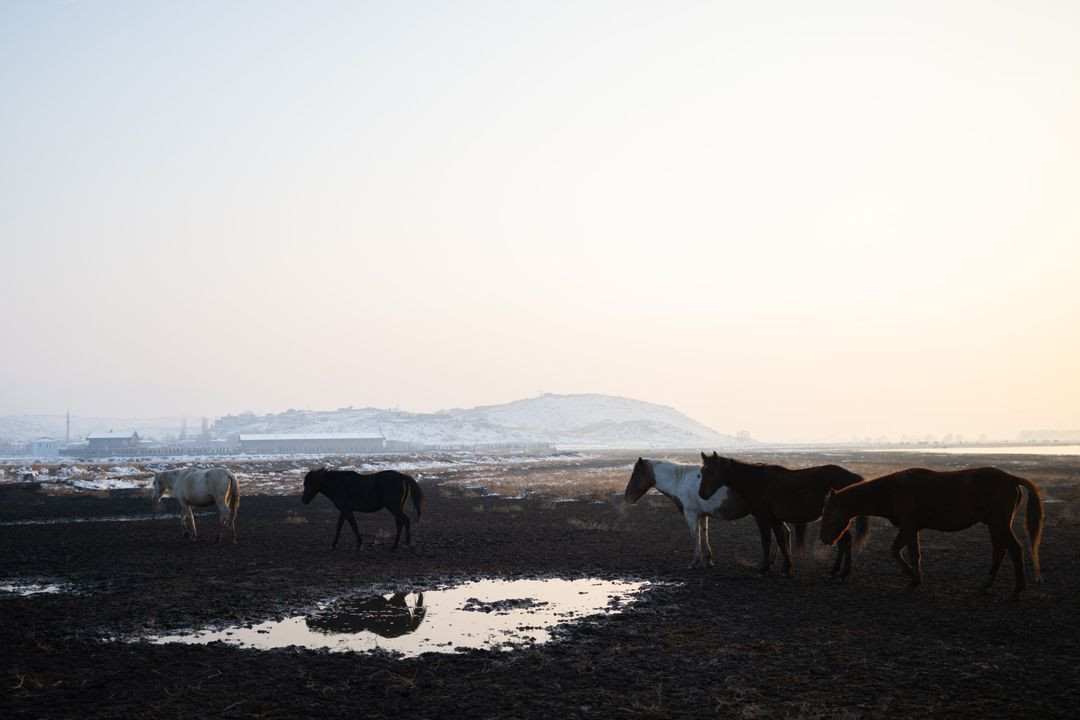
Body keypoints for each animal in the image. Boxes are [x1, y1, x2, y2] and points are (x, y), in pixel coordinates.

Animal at [622, 462, 773, 569]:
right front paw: (709, 560)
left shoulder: (691, 515)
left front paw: (695, 561)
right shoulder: (702, 515)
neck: (682, 481)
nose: (627, 497)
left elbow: (695, 536)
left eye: (635, 475)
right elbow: (704, 535)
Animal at [695, 453, 872, 578]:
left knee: (846, 542)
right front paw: (786, 568)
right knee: (845, 542)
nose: (701, 494)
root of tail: (853, 477)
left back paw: (840, 572)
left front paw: (764, 568)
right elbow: (780, 540)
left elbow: (767, 541)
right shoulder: (775, 519)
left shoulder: (763, 518)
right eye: (702, 471)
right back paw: (839, 571)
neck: (758, 482)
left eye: (712, 471)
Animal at [820, 464, 1041, 600]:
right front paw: (912, 576)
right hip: (995, 526)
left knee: (1015, 551)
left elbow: (909, 553)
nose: (824, 539)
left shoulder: (909, 528)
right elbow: (901, 552)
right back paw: (986, 586)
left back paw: (1017, 591)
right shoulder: (909, 529)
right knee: (1000, 552)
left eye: (828, 513)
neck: (893, 491)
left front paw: (914, 580)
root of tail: (1011, 478)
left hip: (999, 525)